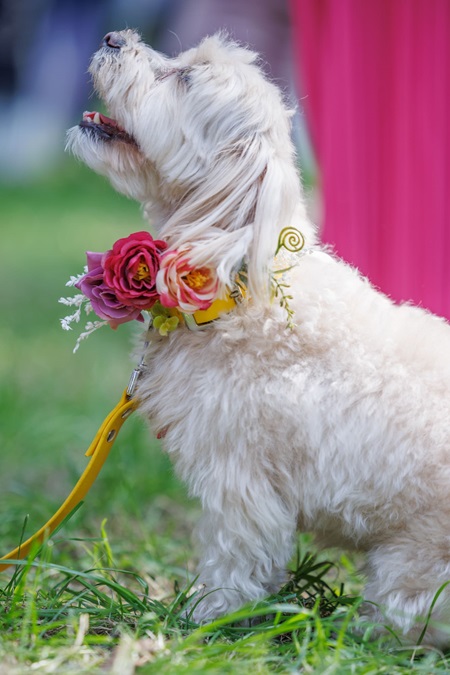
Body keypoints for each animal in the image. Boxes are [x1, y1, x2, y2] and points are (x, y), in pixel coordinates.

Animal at [67, 30, 450, 644]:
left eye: (185, 78)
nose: (113, 36)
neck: (236, 280)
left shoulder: (240, 478)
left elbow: (235, 559)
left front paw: (205, 618)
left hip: (411, 569)